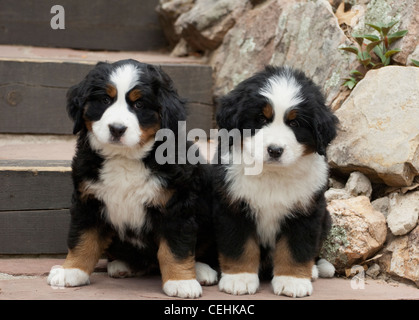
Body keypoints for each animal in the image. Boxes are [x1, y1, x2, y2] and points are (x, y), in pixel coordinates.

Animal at [47, 58, 218, 298]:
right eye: (105, 100)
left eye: (139, 105)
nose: (117, 129)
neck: (125, 158)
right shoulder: (88, 202)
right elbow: (82, 239)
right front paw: (71, 271)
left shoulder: (176, 206)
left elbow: (176, 248)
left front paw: (181, 282)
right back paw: (122, 265)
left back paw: (201, 270)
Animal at [215, 65, 340, 298]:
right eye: (261, 119)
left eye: (295, 123)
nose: (275, 150)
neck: (272, 175)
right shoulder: (234, 206)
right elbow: (239, 246)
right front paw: (239, 279)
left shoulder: (306, 211)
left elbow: (296, 249)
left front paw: (293, 281)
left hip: (325, 217)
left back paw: (315, 270)